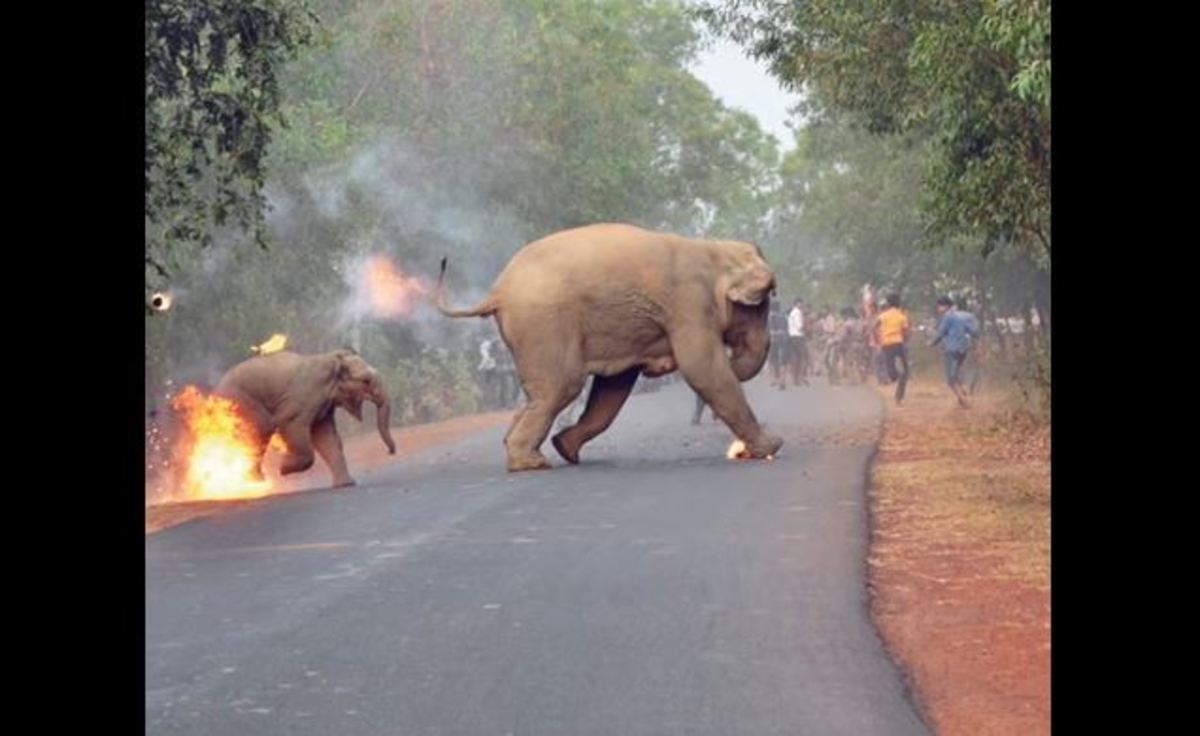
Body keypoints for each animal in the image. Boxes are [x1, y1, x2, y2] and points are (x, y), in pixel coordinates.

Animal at [216, 348, 398, 487]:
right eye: (365, 381)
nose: (390, 452)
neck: (332, 358)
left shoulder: (324, 405)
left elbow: (327, 437)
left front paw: (346, 484)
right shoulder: (304, 395)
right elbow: (290, 423)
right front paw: (283, 468)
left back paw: (254, 481)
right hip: (242, 404)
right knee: (257, 433)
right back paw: (254, 481)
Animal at [436, 220, 782, 470]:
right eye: (761, 306)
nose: (735, 360)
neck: (713, 249)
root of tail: (497, 292)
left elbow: (614, 387)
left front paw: (566, 447)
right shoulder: (689, 305)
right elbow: (703, 368)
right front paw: (771, 447)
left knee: (542, 394)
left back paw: (534, 452)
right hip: (544, 324)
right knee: (562, 387)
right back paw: (530, 463)